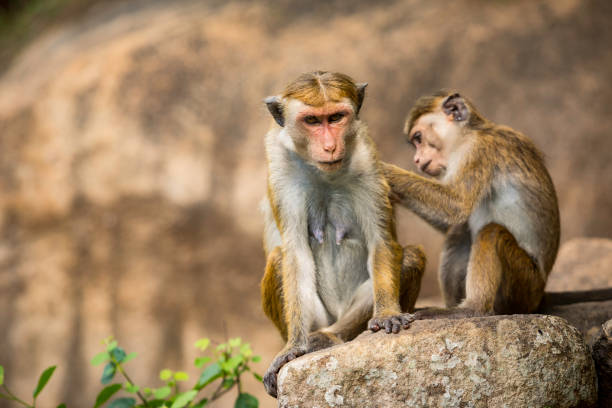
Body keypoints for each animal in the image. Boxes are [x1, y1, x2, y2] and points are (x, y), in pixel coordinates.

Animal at [260, 71, 426, 396]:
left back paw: (330, 337)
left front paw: (386, 314)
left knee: (410, 256)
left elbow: (380, 241)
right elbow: (296, 255)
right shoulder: (281, 170)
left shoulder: (367, 159)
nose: (329, 146)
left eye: (336, 117)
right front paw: (293, 347)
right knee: (278, 258)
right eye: (312, 121)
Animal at [380, 90, 560, 326]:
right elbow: (452, 222)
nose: (417, 159)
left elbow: (457, 206)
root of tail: (540, 293)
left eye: (418, 138)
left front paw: (382, 170)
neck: (471, 132)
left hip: (525, 286)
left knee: (491, 233)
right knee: (459, 234)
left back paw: (472, 309)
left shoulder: (476, 150)